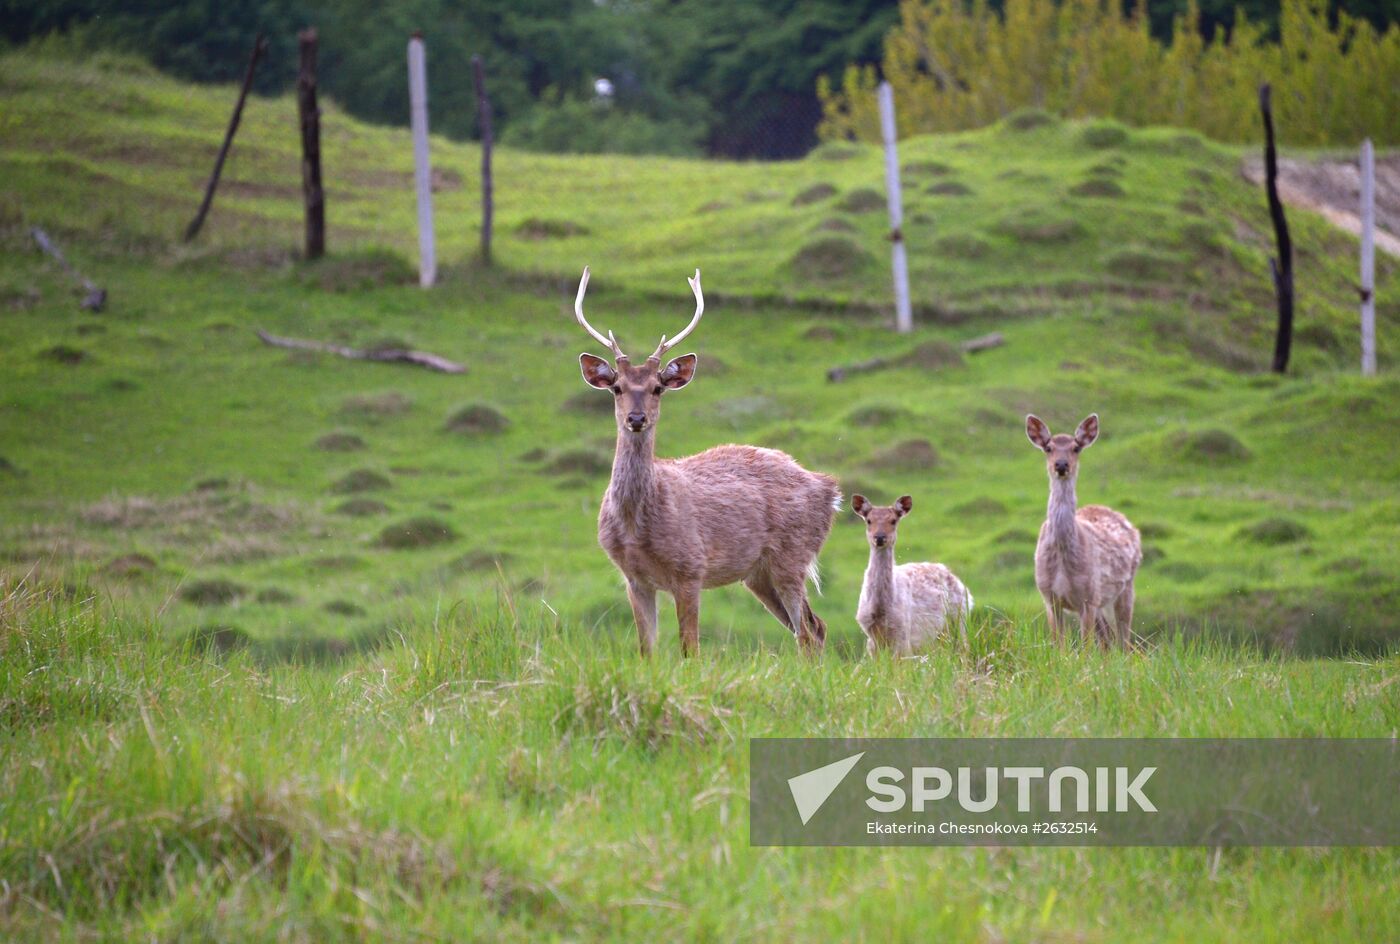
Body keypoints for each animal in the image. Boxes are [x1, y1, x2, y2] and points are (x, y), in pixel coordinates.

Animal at [571, 264, 834, 655]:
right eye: (617, 387)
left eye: (657, 388)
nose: (636, 418)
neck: (637, 528)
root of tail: (831, 491)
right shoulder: (633, 578)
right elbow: (646, 650)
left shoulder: (691, 567)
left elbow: (690, 649)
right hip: (758, 574)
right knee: (813, 626)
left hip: (793, 555)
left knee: (809, 630)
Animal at [851, 493, 974, 655]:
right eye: (869, 520)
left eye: (893, 520)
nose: (880, 537)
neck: (880, 611)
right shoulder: (870, 635)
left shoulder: (904, 632)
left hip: (959, 616)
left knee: (964, 648)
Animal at [1024, 414, 1142, 647]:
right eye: (1048, 448)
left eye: (1076, 447)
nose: (1061, 464)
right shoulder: (1049, 597)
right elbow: (1058, 646)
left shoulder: (1088, 597)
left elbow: (1086, 648)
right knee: (1107, 641)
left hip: (1125, 586)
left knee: (1124, 642)